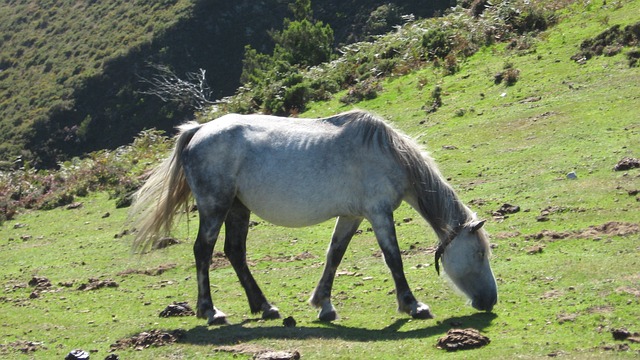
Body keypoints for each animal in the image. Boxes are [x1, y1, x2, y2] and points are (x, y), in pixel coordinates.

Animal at [131, 110, 500, 326]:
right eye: (479, 253)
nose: (489, 301)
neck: (385, 153)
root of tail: (199, 129)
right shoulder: (379, 213)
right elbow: (393, 259)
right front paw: (413, 306)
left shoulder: (352, 216)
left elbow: (334, 256)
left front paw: (324, 305)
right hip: (215, 207)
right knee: (203, 252)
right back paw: (211, 311)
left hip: (237, 208)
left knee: (234, 252)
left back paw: (265, 307)